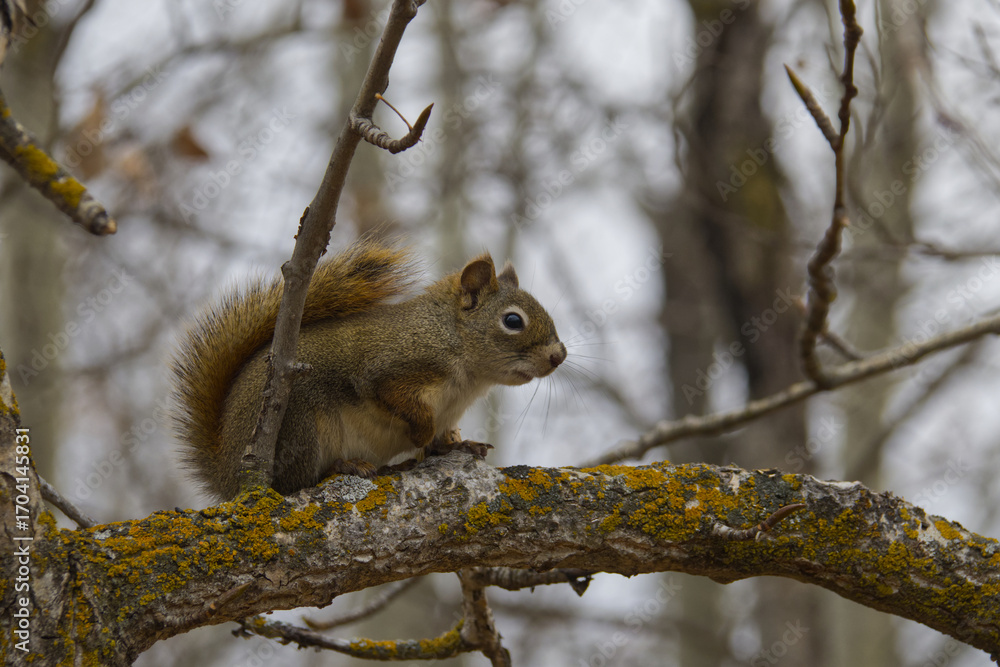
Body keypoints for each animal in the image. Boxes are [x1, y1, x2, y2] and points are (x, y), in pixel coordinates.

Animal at [171, 240, 567, 501]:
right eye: (513, 321)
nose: (559, 356)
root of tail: (227, 476)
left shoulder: (450, 409)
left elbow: (444, 439)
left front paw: (459, 444)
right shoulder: (393, 368)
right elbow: (398, 399)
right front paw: (421, 435)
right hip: (300, 427)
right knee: (294, 484)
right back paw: (346, 467)